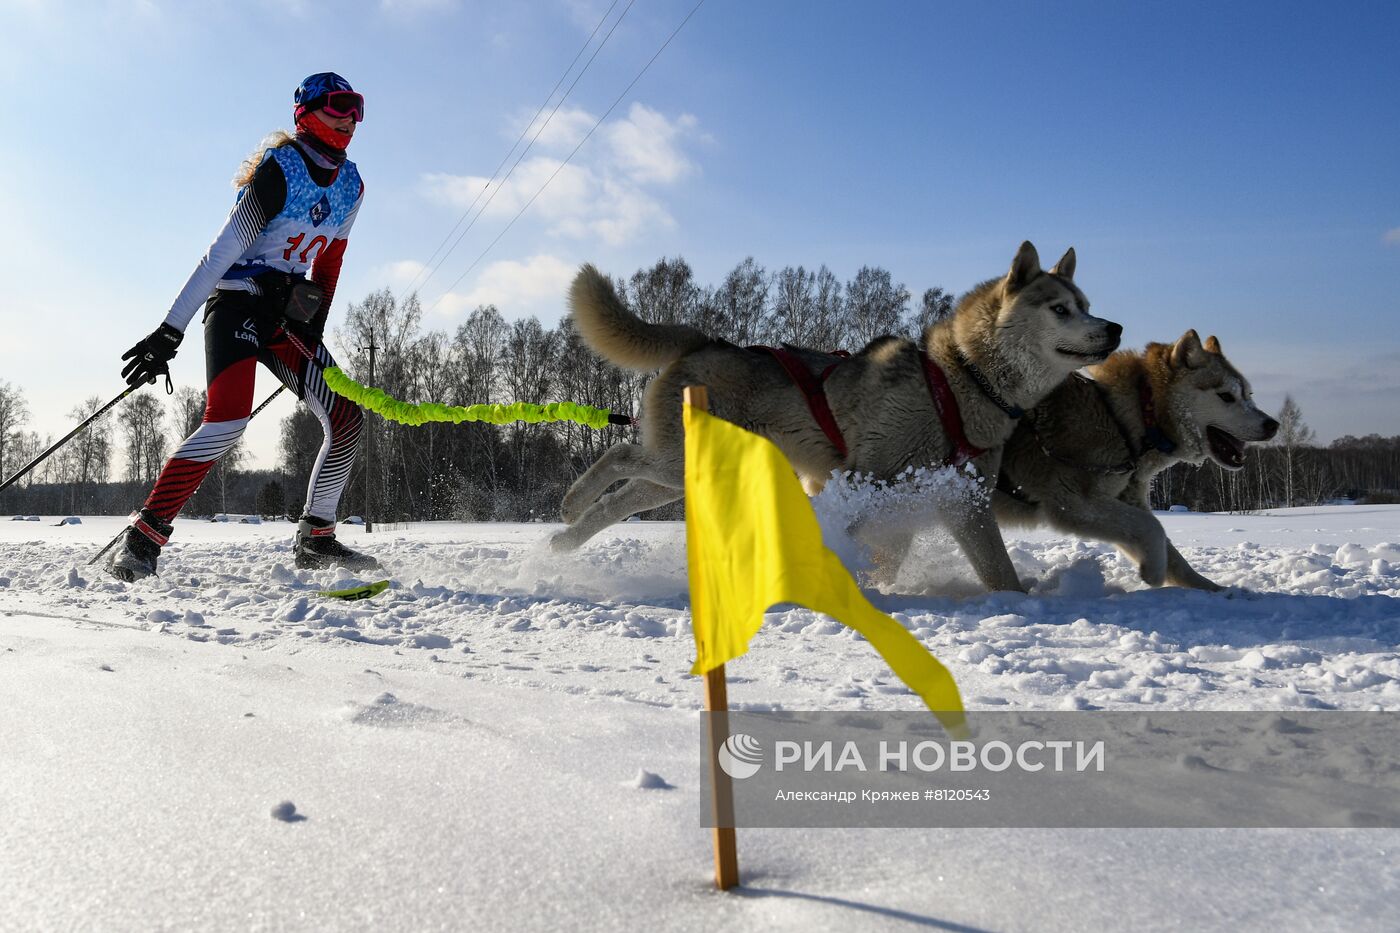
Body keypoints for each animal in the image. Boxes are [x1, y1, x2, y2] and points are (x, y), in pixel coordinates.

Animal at [551, 239, 1120, 588]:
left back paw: (565, 536)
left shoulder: (961, 503)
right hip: (680, 460)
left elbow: (998, 572)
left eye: (1088, 303)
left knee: (622, 498)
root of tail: (704, 341)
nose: (1114, 327)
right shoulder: (863, 482)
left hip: (681, 474)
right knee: (621, 454)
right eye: (1061, 309)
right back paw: (571, 502)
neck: (958, 384)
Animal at [996, 329, 1282, 588]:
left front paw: (1217, 591)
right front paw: (1152, 573)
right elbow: (1154, 528)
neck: (1127, 418)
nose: (1273, 424)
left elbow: (1171, 553)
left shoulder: (1123, 501)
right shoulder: (1070, 503)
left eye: (1248, 395)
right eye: (1226, 396)